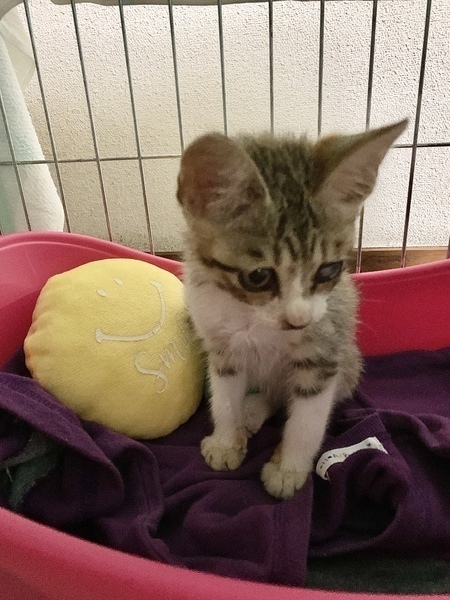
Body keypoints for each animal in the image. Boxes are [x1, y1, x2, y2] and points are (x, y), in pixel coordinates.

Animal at [176, 119, 407, 499]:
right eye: (258, 277)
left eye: (328, 270)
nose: (298, 320)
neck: (255, 319)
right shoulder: (221, 346)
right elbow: (224, 399)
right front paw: (225, 440)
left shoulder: (325, 352)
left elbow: (307, 419)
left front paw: (289, 468)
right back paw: (249, 412)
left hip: (350, 361)